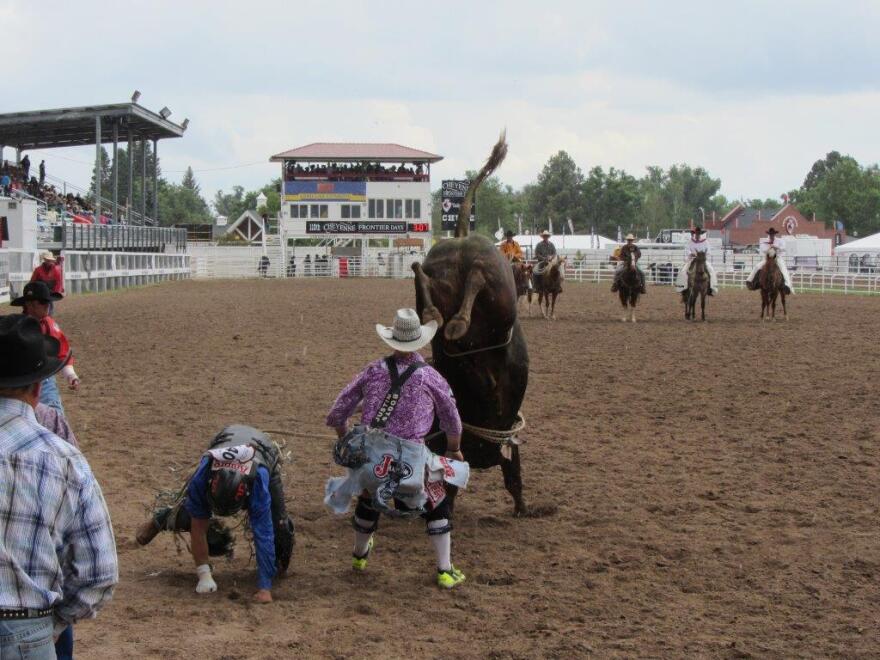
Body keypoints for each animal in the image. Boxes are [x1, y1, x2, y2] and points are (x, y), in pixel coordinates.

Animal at [410, 133, 532, 516]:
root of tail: (464, 234)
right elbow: (513, 475)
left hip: (455, 277)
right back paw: (449, 320)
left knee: (429, 275)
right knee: (470, 278)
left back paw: (439, 317)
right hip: (499, 292)